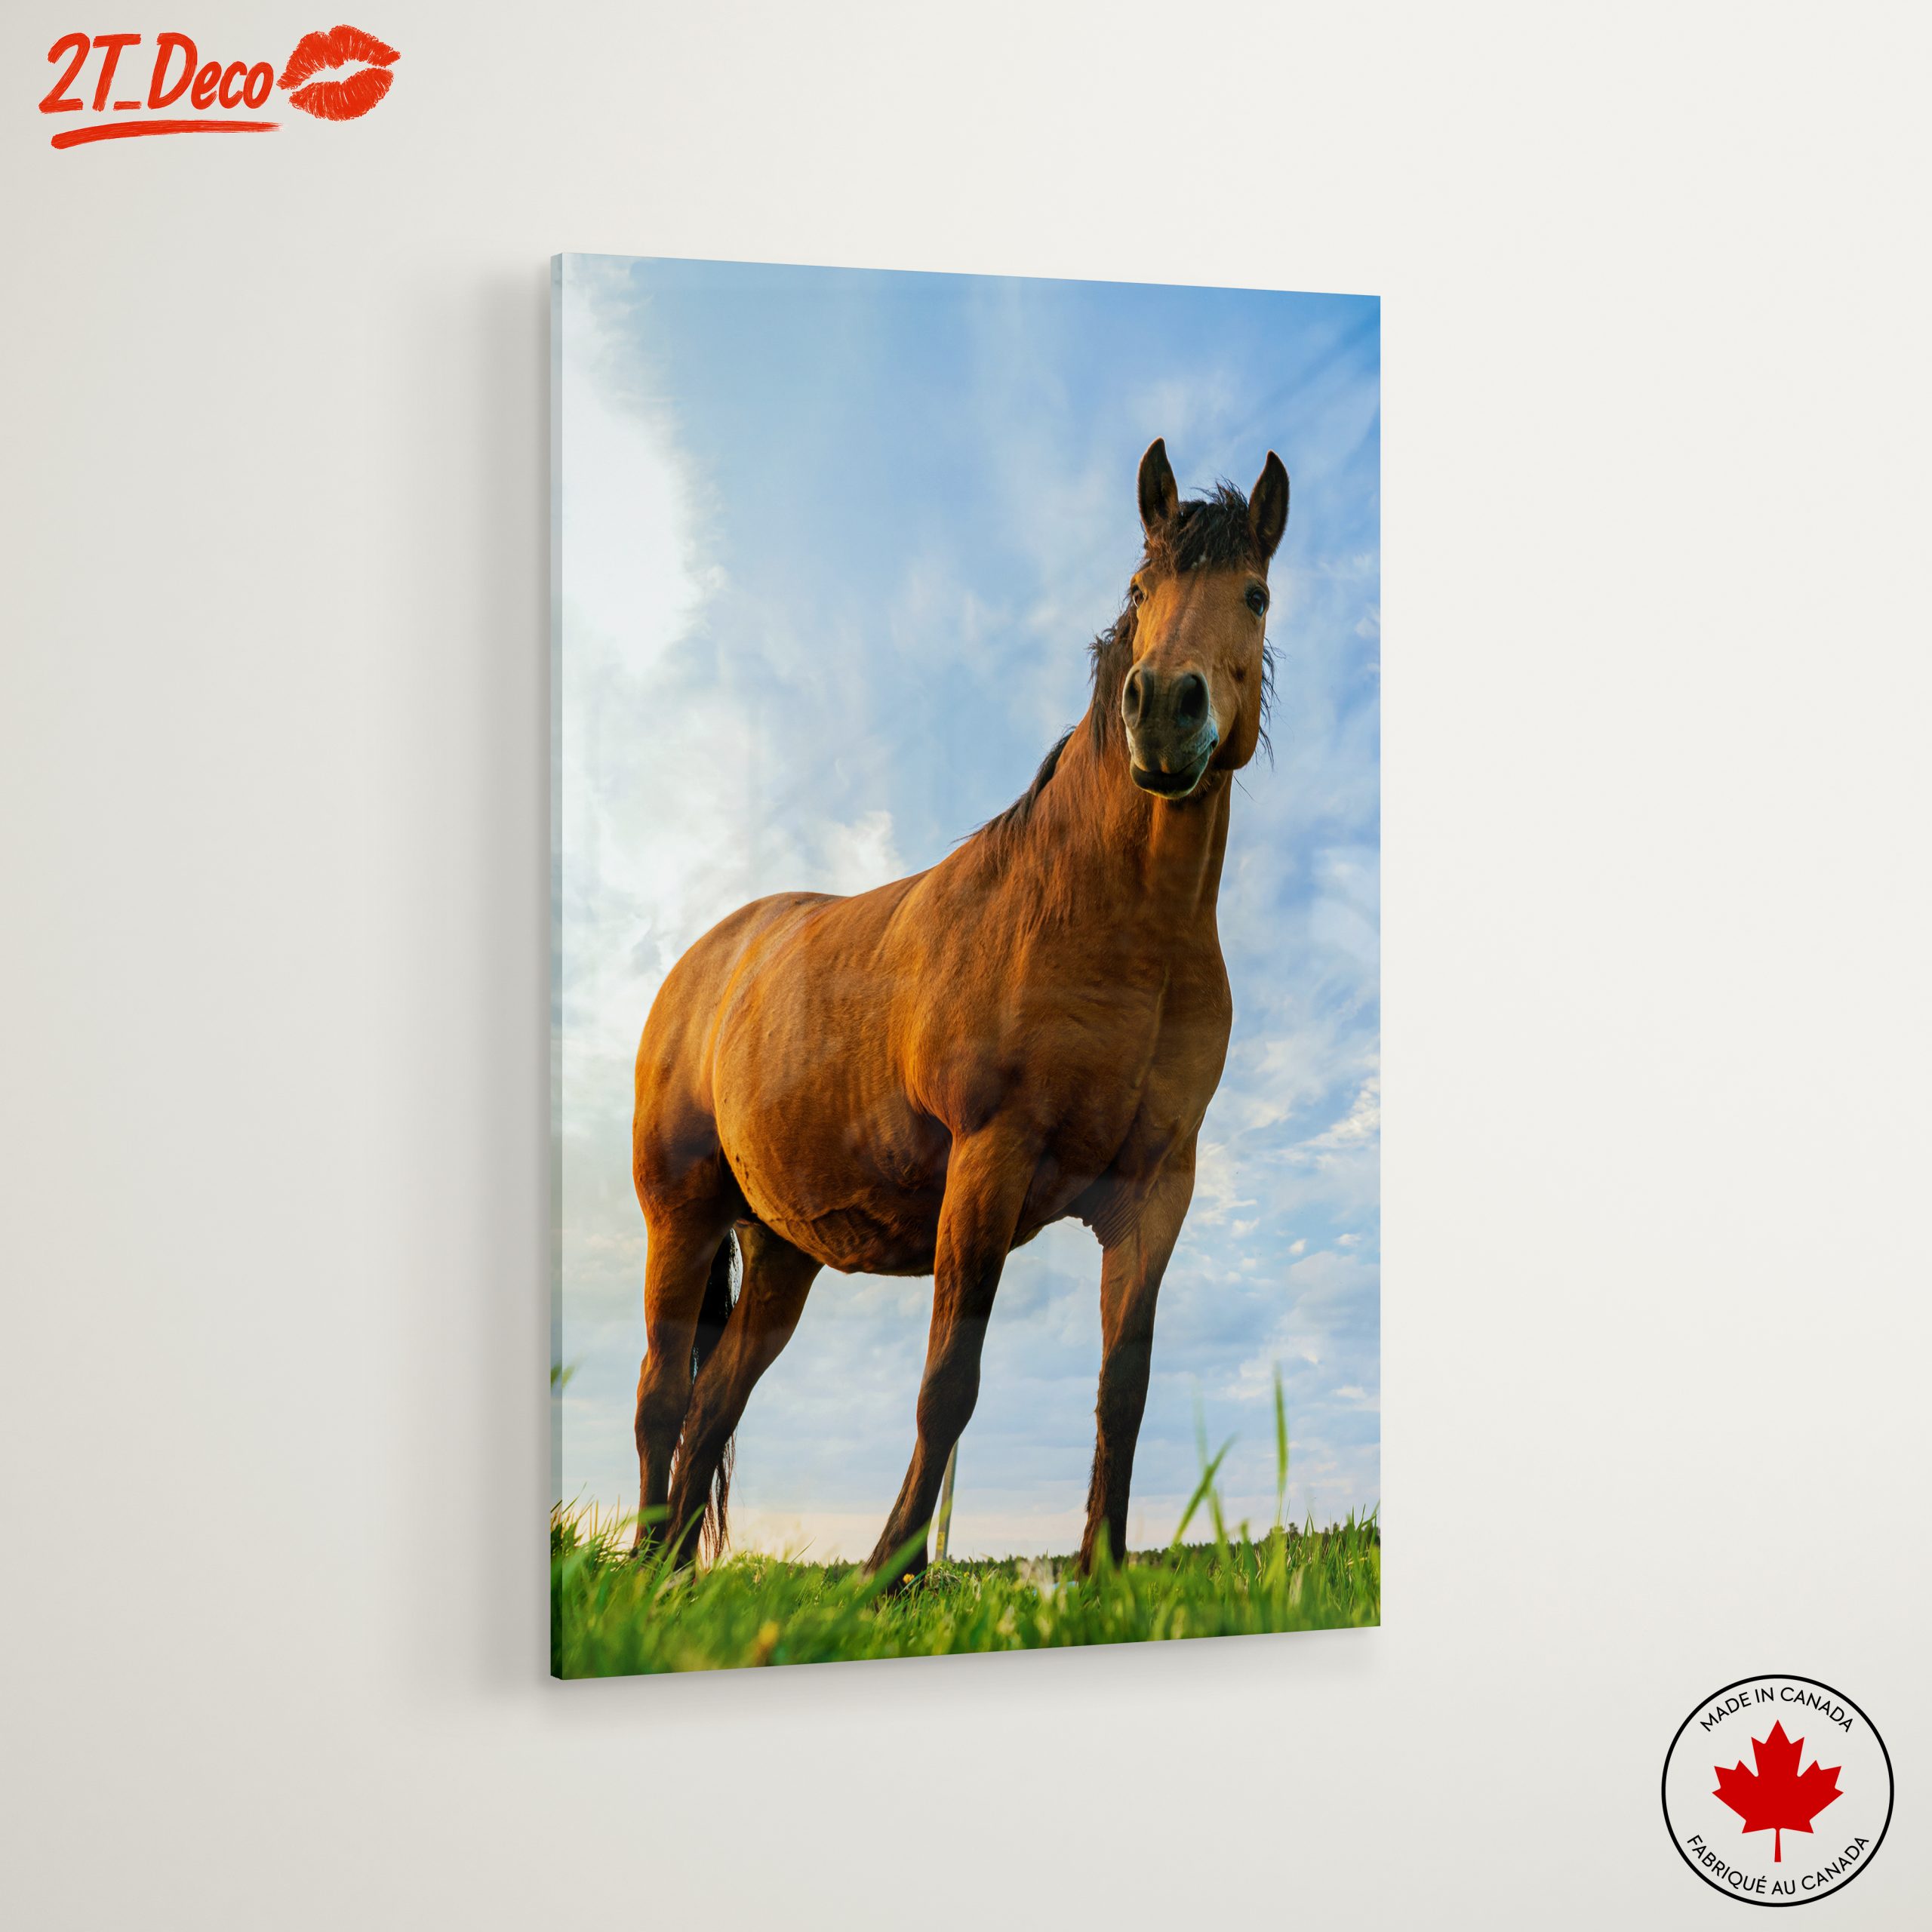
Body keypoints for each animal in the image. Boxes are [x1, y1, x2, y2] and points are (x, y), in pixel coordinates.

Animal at [631, 436, 1288, 1581]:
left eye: (1254, 593)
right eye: (1140, 589)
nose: (1165, 710)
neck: (1111, 926)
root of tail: (704, 962)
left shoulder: (1158, 1190)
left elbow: (1125, 1392)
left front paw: (1102, 1570)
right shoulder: (990, 1159)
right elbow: (949, 1384)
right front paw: (887, 1576)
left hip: (780, 1253)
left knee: (715, 1403)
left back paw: (671, 1580)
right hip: (682, 1218)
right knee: (661, 1400)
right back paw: (632, 1568)